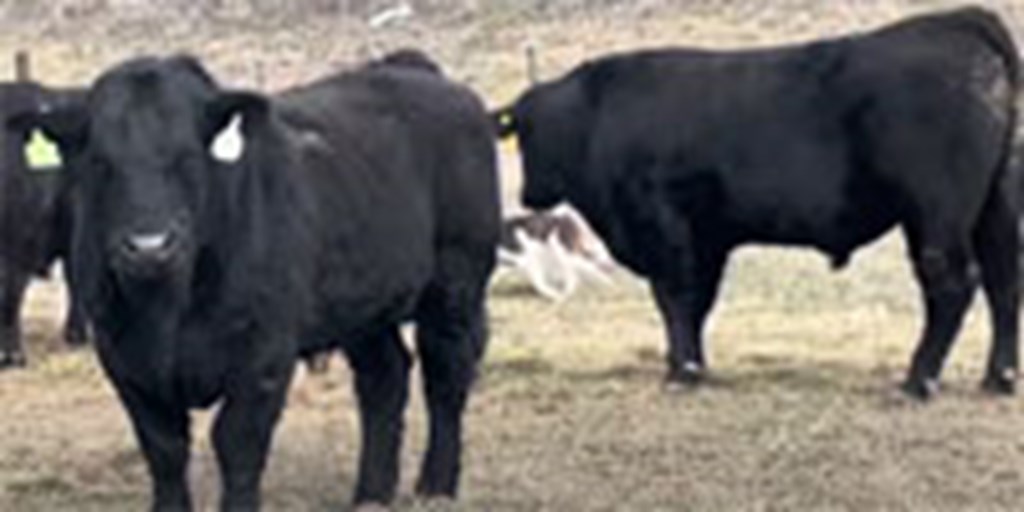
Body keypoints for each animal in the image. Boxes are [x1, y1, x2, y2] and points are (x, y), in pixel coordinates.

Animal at [13, 52, 500, 510]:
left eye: (188, 157)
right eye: (100, 162)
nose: (149, 246)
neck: (169, 313)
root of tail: (424, 76)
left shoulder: (262, 355)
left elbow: (237, 444)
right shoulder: (124, 359)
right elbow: (164, 449)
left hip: (456, 283)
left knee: (445, 376)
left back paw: (436, 485)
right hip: (365, 308)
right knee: (384, 380)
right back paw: (371, 493)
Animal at [494, 7, 1021, 400]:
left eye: (534, 133)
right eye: (522, 127)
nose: (528, 194)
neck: (599, 118)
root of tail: (957, 21)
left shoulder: (664, 227)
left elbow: (674, 295)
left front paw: (681, 371)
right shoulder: (707, 236)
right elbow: (698, 300)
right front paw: (693, 364)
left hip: (936, 214)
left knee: (952, 284)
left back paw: (918, 380)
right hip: (993, 206)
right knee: (1003, 281)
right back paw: (999, 378)